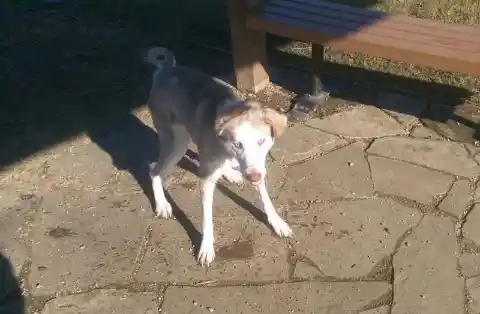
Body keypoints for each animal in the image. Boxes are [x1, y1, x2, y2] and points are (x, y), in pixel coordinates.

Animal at [142, 47, 292, 268]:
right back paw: (162, 204)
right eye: (237, 144)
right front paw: (206, 248)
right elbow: (207, 217)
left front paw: (277, 222)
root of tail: (167, 70)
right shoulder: (206, 179)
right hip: (176, 144)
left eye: (261, 141)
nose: (253, 177)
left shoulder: (257, 166)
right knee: (154, 171)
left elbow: (265, 198)